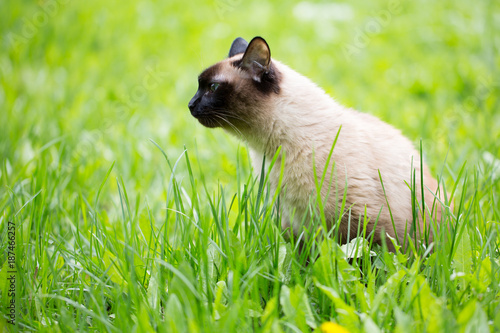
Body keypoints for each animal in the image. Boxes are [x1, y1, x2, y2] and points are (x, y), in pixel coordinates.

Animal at [189, 37, 448, 249]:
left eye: (212, 87)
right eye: (200, 87)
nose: (190, 104)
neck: (271, 152)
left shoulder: (366, 225)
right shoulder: (294, 225)